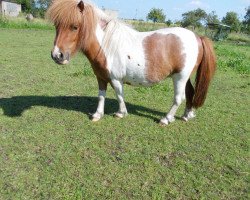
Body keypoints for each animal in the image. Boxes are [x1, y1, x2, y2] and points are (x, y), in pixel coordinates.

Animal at [47, 0, 217, 125]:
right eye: (56, 25)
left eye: (74, 27)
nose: (57, 55)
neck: (106, 45)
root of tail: (197, 37)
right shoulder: (101, 77)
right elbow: (101, 95)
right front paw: (97, 115)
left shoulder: (115, 79)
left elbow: (119, 94)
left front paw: (121, 113)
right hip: (184, 77)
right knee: (190, 93)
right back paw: (187, 115)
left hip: (180, 77)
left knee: (178, 98)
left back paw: (166, 119)